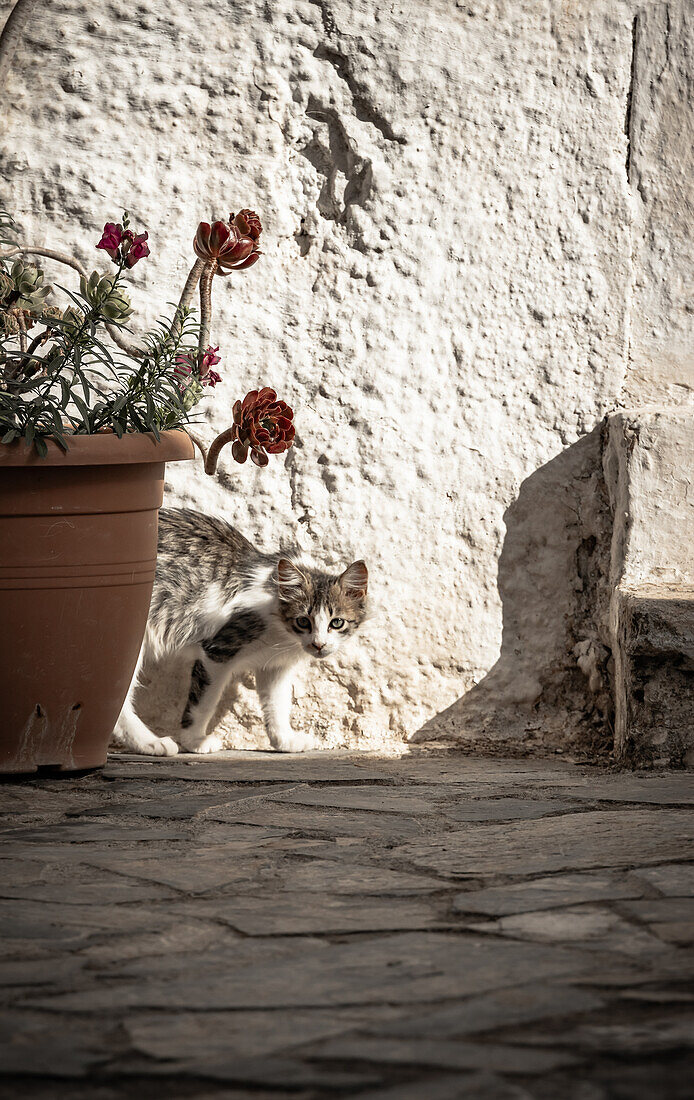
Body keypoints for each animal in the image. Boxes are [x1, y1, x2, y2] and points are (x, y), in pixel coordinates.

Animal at [111, 506, 369, 756]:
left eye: (337, 623)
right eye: (303, 621)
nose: (319, 645)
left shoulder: (276, 665)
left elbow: (277, 705)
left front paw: (284, 739)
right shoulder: (218, 650)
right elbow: (204, 702)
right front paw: (194, 741)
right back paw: (149, 743)